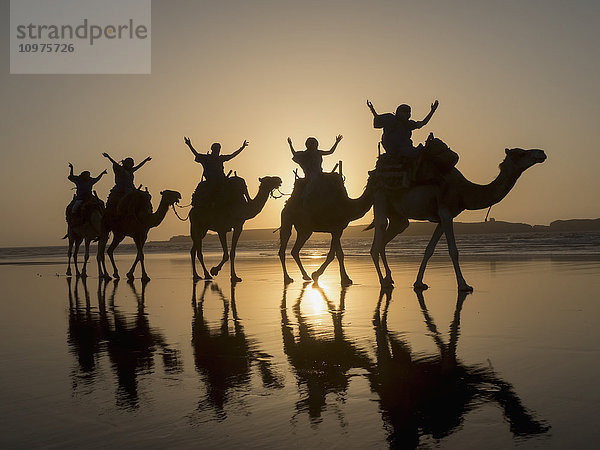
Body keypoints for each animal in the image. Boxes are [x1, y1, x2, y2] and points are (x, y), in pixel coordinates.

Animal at [368, 135, 548, 292]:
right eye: (521, 153)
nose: (541, 153)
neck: (464, 191)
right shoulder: (446, 213)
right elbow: (453, 250)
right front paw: (463, 285)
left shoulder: (442, 218)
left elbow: (429, 249)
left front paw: (419, 282)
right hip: (380, 195)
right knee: (378, 236)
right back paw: (383, 282)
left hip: (397, 216)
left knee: (388, 237)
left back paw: (389, 278)